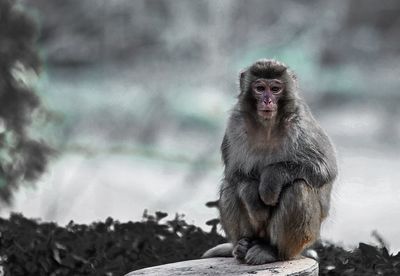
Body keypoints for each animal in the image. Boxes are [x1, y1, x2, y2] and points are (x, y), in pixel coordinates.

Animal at [203, 59, 338, 264]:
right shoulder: (235, 124)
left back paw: (272, 251)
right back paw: (243, 245)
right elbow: (234, 174)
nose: (267, 100)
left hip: (306, 238)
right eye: (260, 88)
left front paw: (271, 180)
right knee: (229, 187)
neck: (268, 127)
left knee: (298, 188)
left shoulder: (301, 122)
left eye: (275, 89)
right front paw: (251, 194)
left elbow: (324, 168)